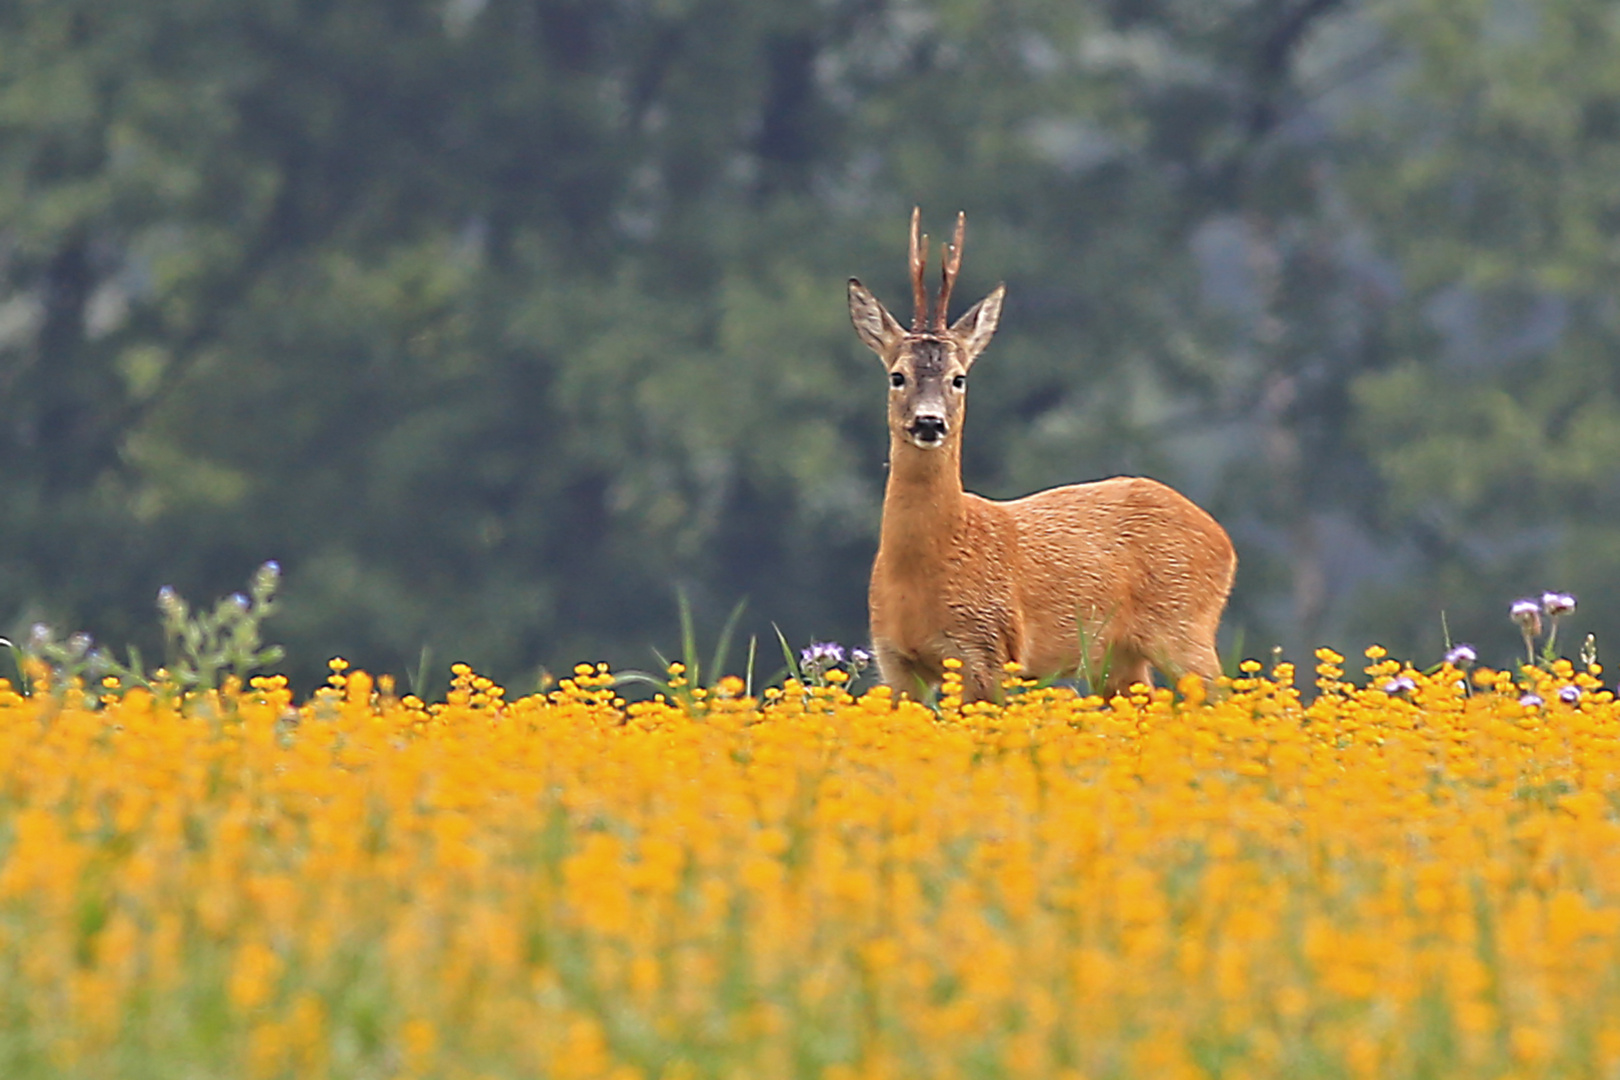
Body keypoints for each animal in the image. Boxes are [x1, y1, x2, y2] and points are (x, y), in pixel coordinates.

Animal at [842, 208, 1231, 702]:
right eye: (897, 376)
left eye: (959, 378)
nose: (929, 422)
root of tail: (1224, 541)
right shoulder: (893, 660)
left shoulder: (989, 649)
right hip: (1120, 658)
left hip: (1184, 625)